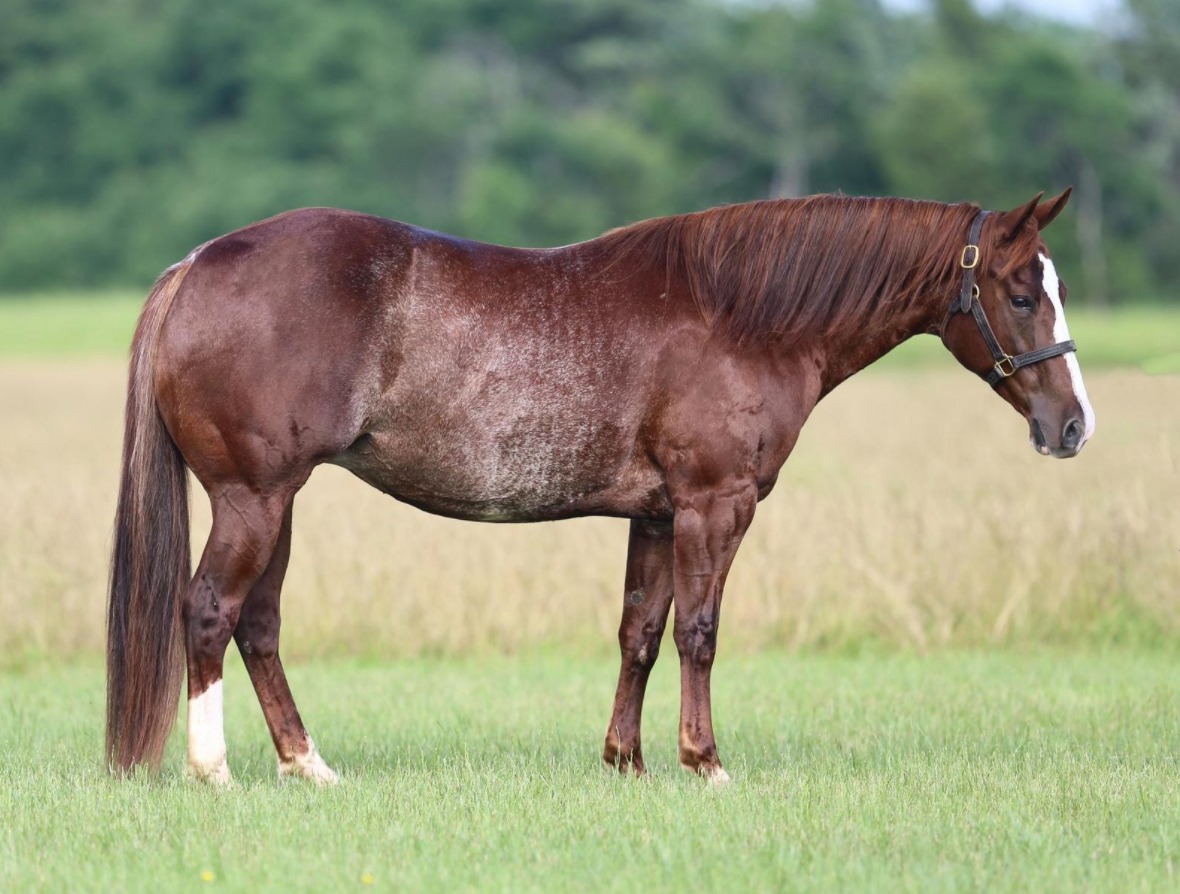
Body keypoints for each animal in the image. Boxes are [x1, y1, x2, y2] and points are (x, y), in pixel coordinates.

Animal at [106, 189, 1094, 785]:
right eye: (1019, 292)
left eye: (1050, 285)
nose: (1074, 425)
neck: (744, 315)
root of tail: (198, 264)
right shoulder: (713, 504)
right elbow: (699, 632)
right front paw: (706, 762)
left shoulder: (655, 516)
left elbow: (639, 634)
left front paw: (627, 761)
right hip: (253, 497)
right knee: (209, 611)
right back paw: (213, 770)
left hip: (280, 502)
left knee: (259, 625)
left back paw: (308, 766)